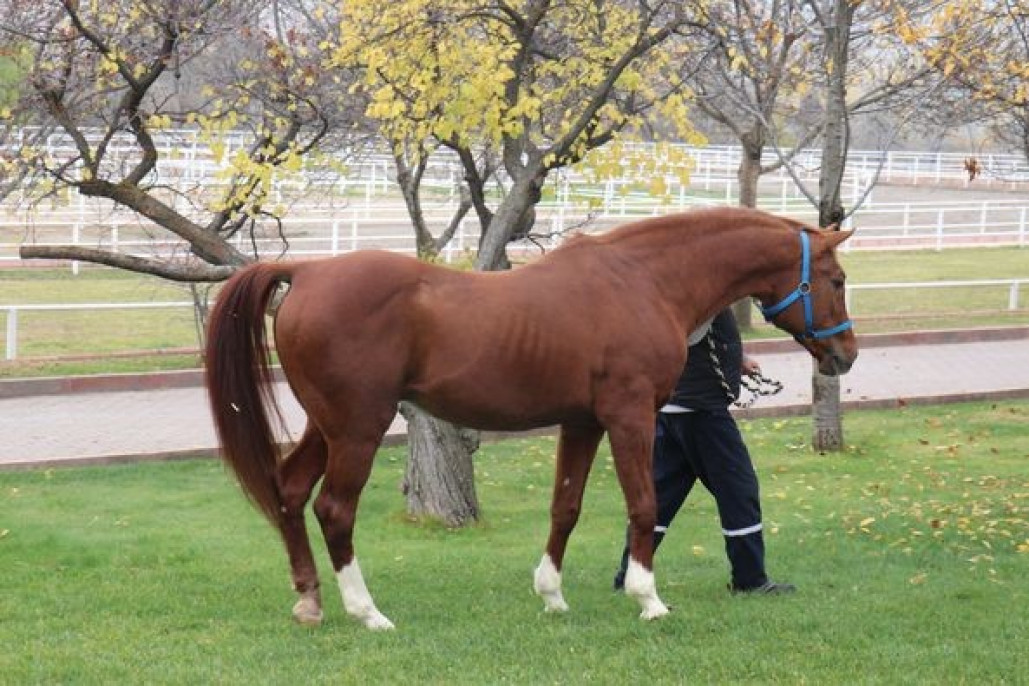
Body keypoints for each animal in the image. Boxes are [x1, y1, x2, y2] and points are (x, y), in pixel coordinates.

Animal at [204, 206, 856, 629]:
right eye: (836, 279)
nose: (845, 354)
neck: (642, 280)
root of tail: (308, 271)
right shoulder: (629, 417)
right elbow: (643, 505)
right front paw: (648, 599)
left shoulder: (583, 422)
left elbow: (565, 506)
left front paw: (552, 595)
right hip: (359, 429)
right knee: (334, 510)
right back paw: (367, 612)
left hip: (327, 426)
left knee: (290, 491)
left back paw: (311, 601)